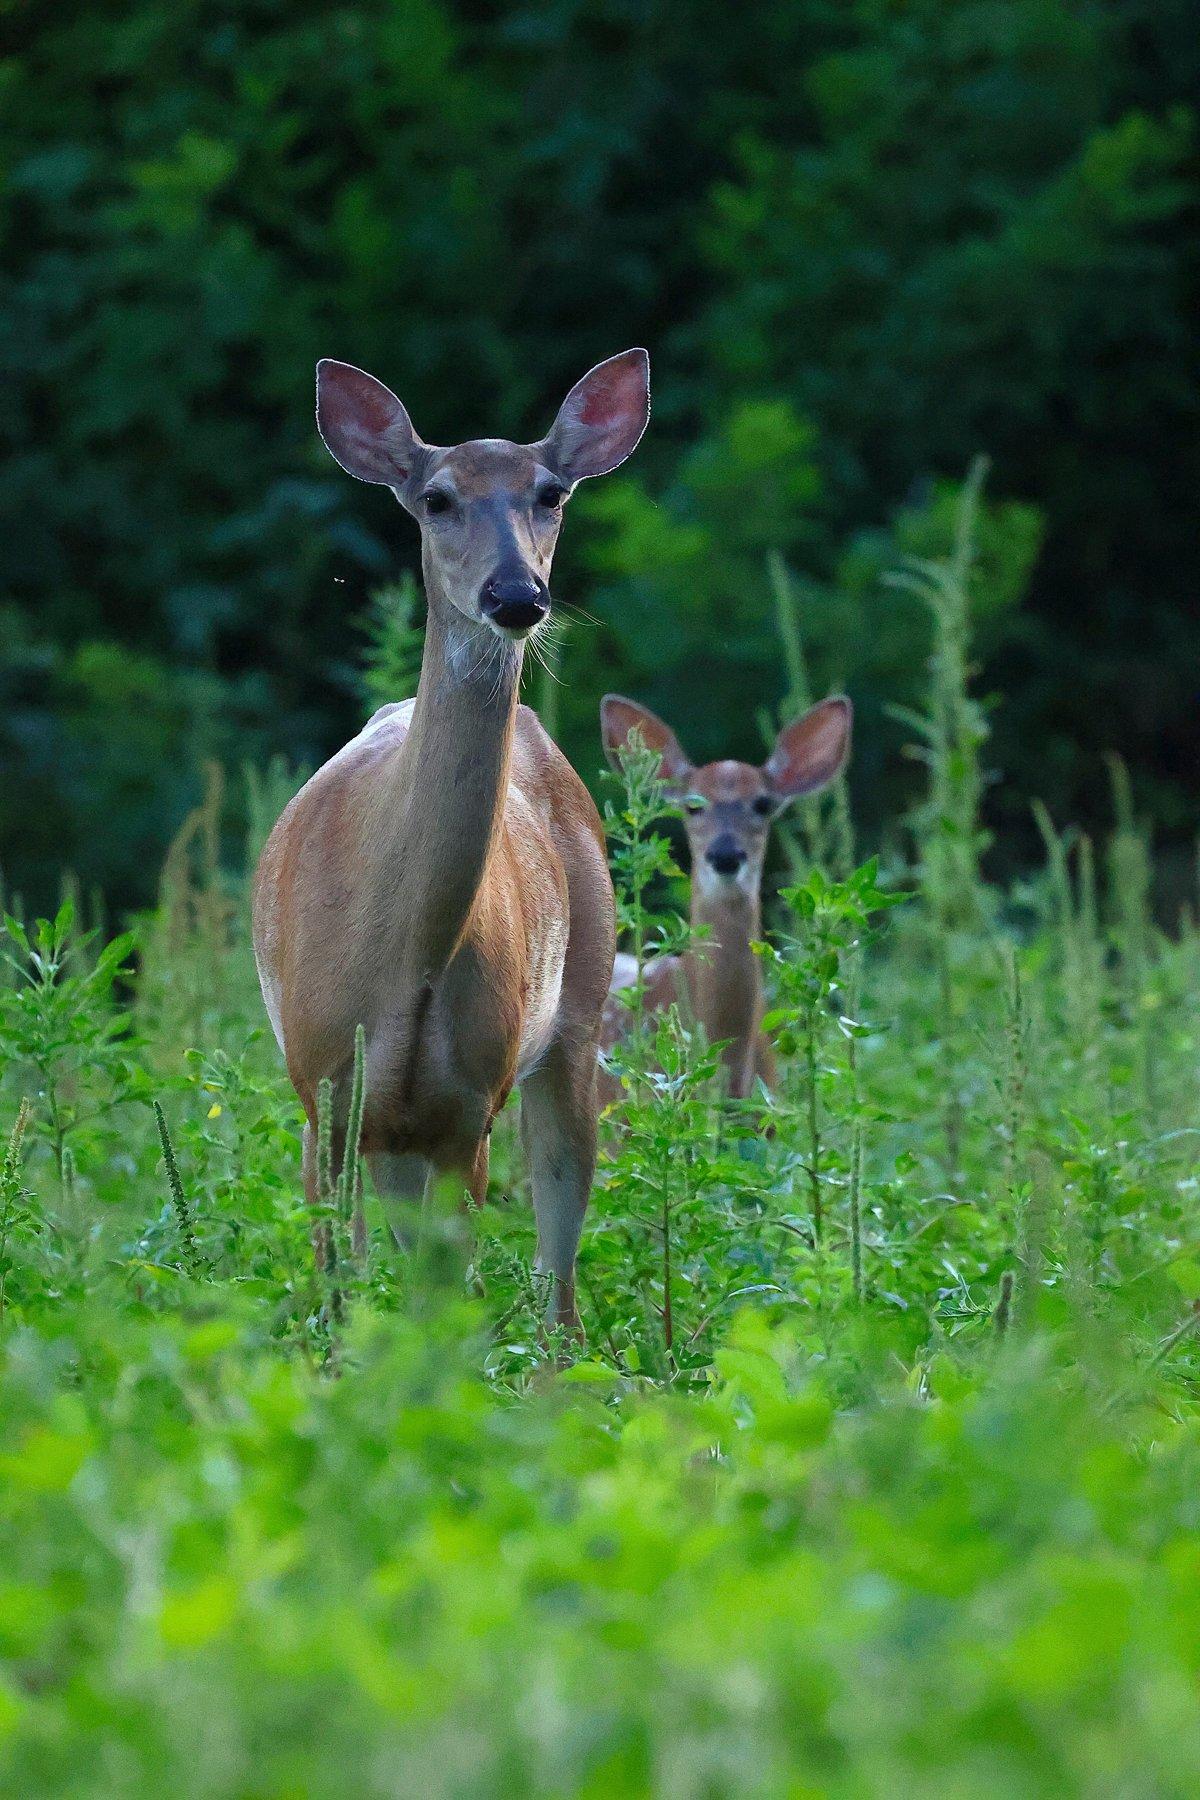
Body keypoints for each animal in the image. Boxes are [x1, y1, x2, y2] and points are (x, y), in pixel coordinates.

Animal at [251, 354, 647, 1339]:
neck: (405, 964)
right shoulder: (321, 1086)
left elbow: (448, 1305)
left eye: (551, 493)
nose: (516, 596)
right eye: (434, 499)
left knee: (559, 1276)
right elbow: (332, 1293)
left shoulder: (470, 1105)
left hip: (575, 1024)